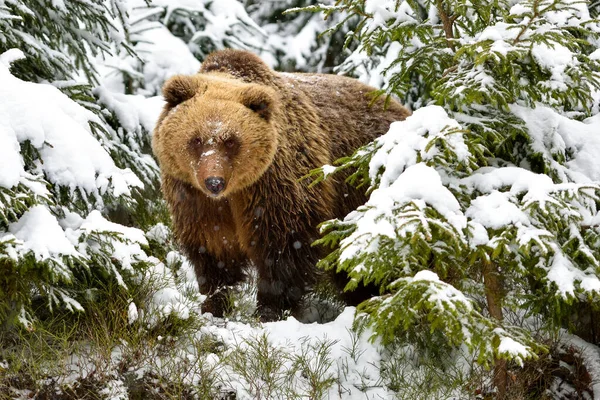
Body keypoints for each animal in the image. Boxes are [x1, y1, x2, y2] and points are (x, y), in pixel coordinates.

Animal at [152, 49, 410, 322]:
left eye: (231, 141)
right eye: (196, 139)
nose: (214, 182)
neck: (235, 192)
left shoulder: (274, 185)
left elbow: (282, 247)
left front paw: (270, 309)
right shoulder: (193, 197)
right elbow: (212, 248)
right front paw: (214, 303)